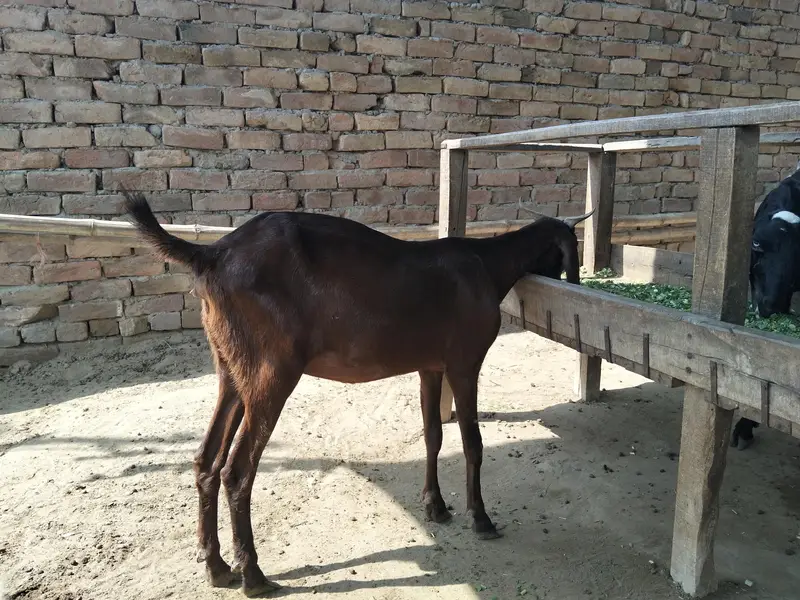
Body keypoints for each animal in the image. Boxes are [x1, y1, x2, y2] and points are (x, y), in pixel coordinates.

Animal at [122, 190, 593, 596]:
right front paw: (481, 518)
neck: (486, 266)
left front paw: (436, 506)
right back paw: (252, 575)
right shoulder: (465, 362)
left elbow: (433, 435)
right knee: (237, 471)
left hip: (232, 367)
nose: (575, 281)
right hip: (271, 371)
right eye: (569, 250)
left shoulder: (430, 365)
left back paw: (217, 565)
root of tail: (213, 254)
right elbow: (472, 442)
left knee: (206, 460)